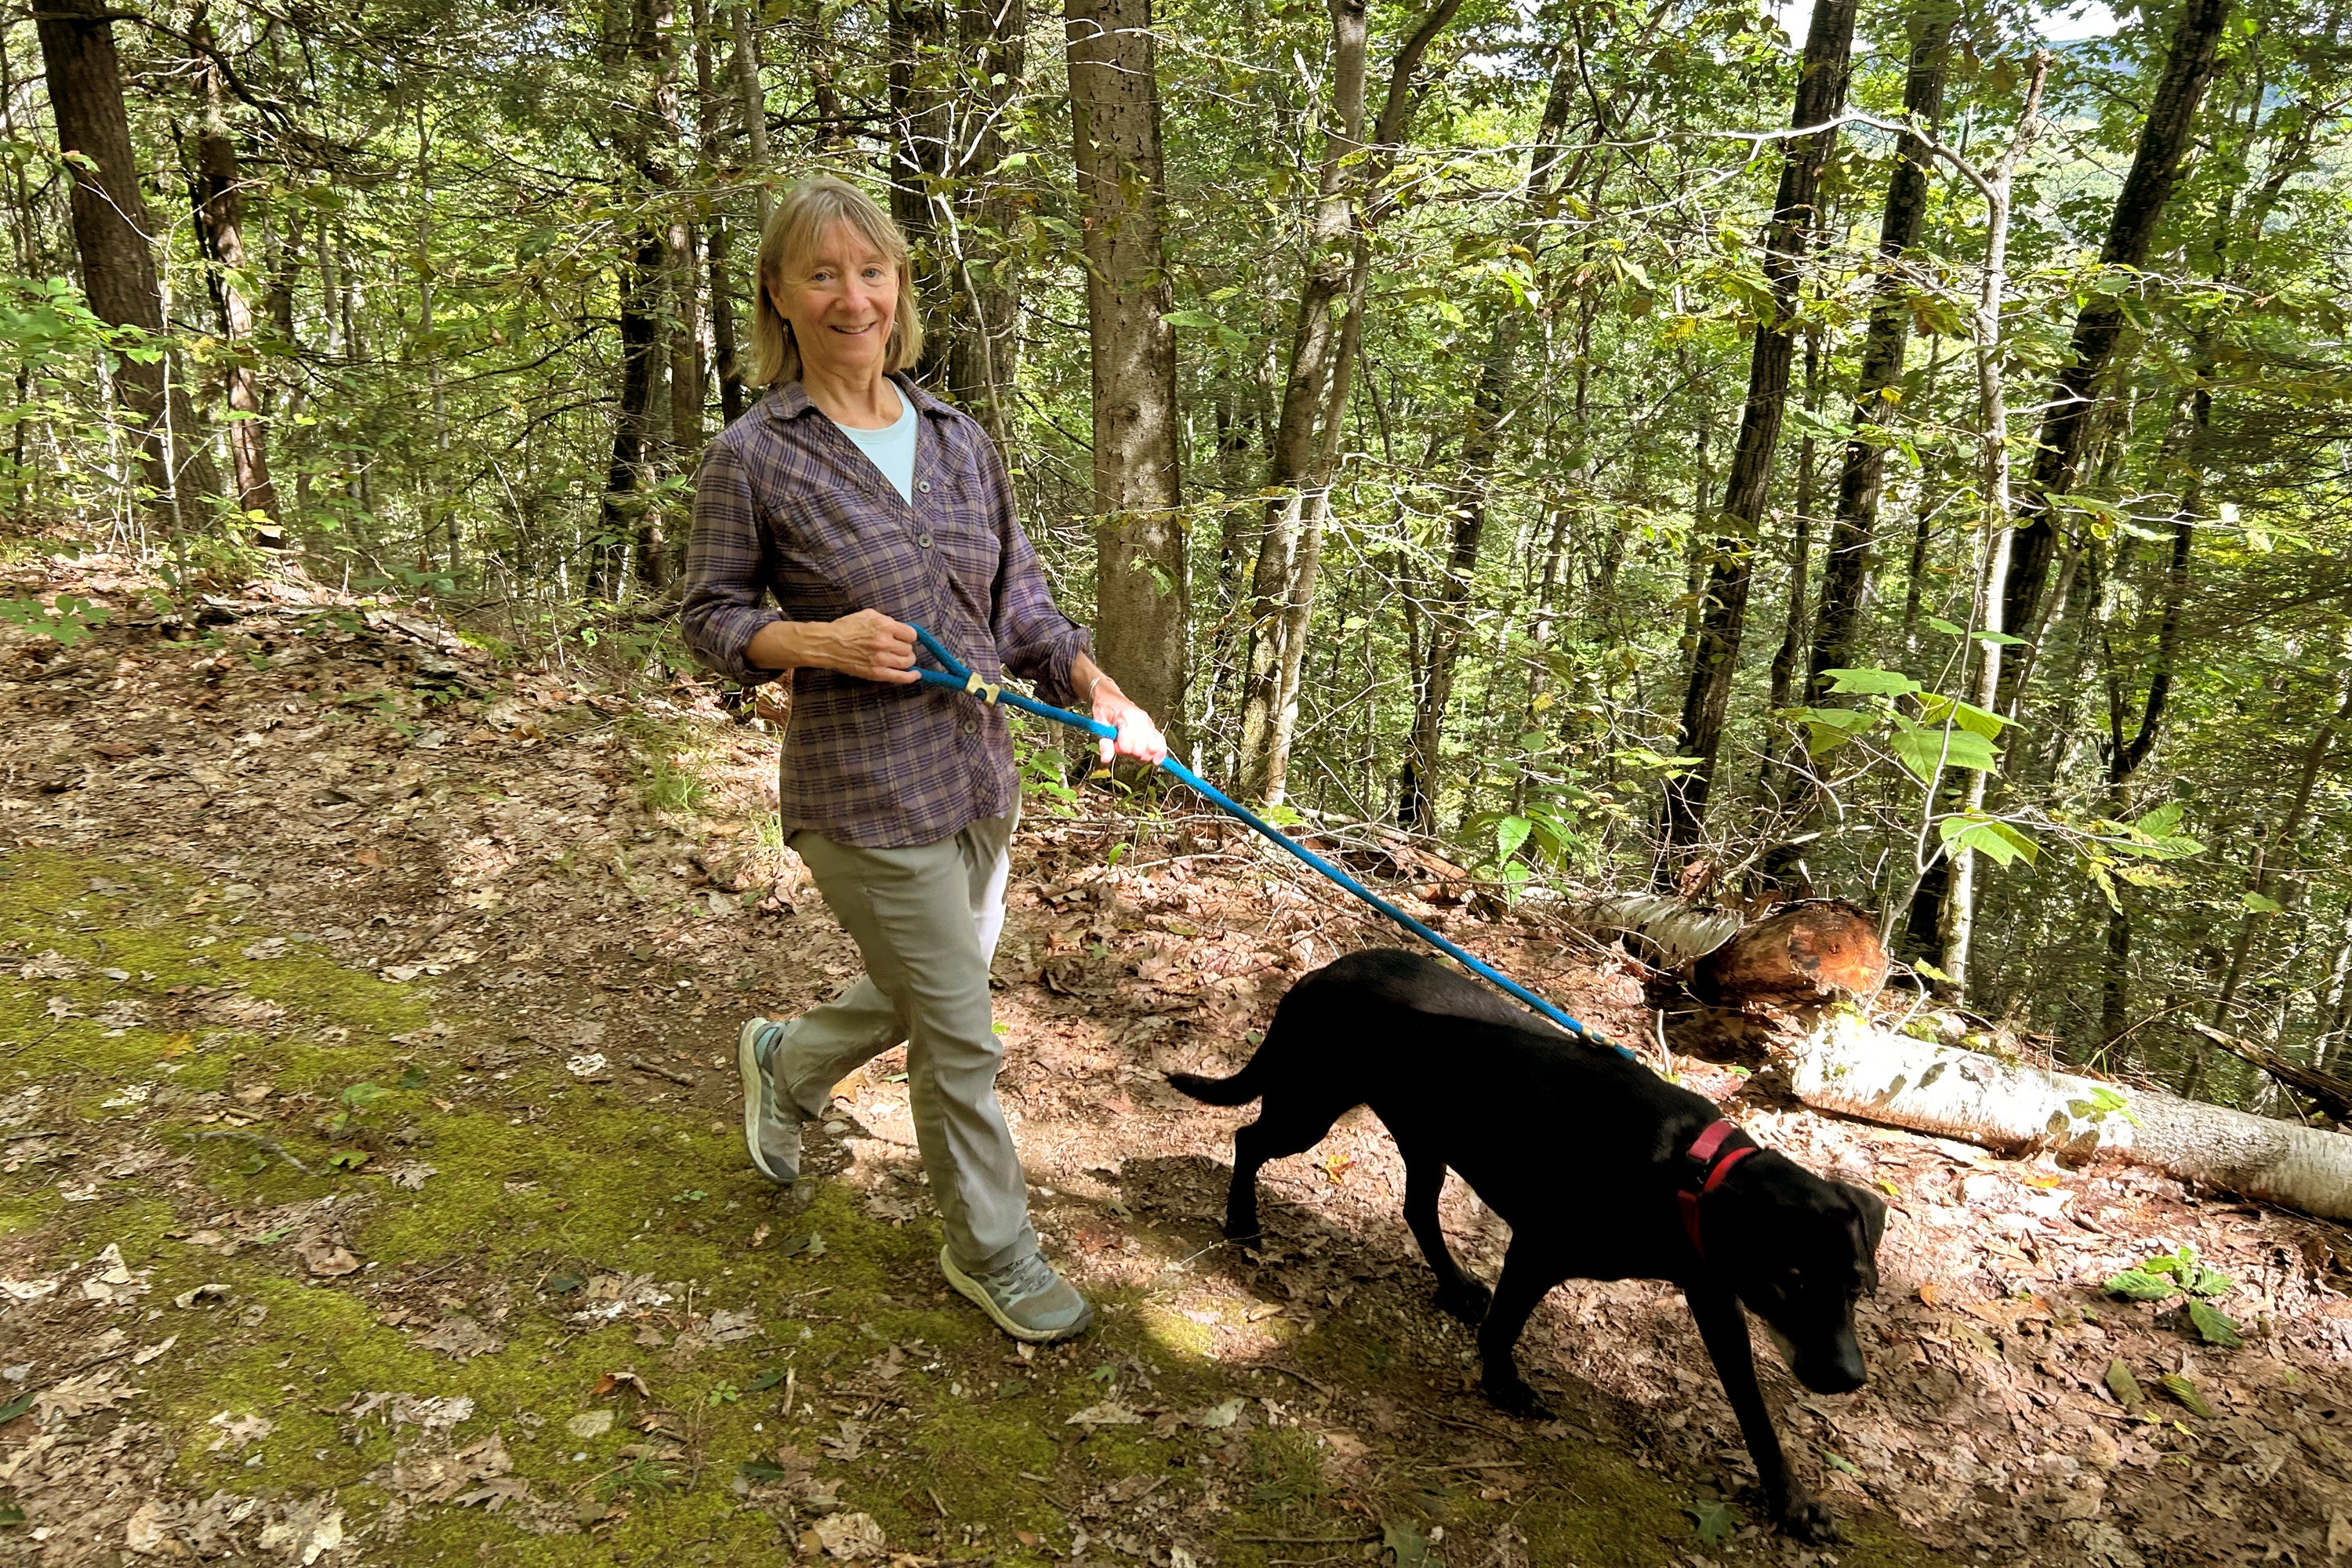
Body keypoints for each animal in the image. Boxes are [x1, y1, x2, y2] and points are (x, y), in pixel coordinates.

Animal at [1176, 949, 1891, 1542]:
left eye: (1857, 1286)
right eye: (1790, 1279)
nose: (1849, 1379)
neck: (1686, 1174)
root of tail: (1321, 973)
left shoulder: (1715, 1298)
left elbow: (1754, 1411)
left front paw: (1792, 1504)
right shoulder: (1539, 1248)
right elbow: (1505, 1326)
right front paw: (1502, 1385)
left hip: (1425, 1136)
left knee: (1416, 1210)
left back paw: (1455, 1285)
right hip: (1311, 1107)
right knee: (1248, 1139)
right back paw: (1241, 1220)